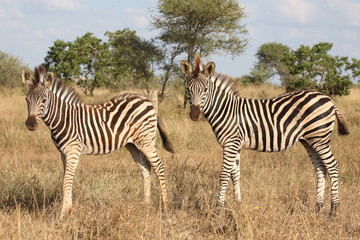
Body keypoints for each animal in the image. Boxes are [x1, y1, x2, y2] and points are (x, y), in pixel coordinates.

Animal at [21, 66, 175, 219]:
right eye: (27, 100)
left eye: (44, 100)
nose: (31, 124)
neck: (64, 119)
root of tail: (147, 101)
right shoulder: (63, 154)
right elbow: (67, 180)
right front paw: (68, 209)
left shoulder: (73, 151)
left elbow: (66, 181)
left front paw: (63, 214)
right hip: (133, 145)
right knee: (145, 168)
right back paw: (146, 205)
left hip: (146, 141)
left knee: (159, 167)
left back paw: (166, 207)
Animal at [181, 54, 350, 218]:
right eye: (188, 89)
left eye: (205, 90)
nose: (195, 114)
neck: (226, 110)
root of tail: (328, 98)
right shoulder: (235, 146)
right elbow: (235, 175)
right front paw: (238, 205)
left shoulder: (230, 144)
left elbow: (224, 176)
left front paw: (217, 211)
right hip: (309, 140)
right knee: (321, 168)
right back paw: (318, 208)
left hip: (320, 138)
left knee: (332, 166)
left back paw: (333, 211)